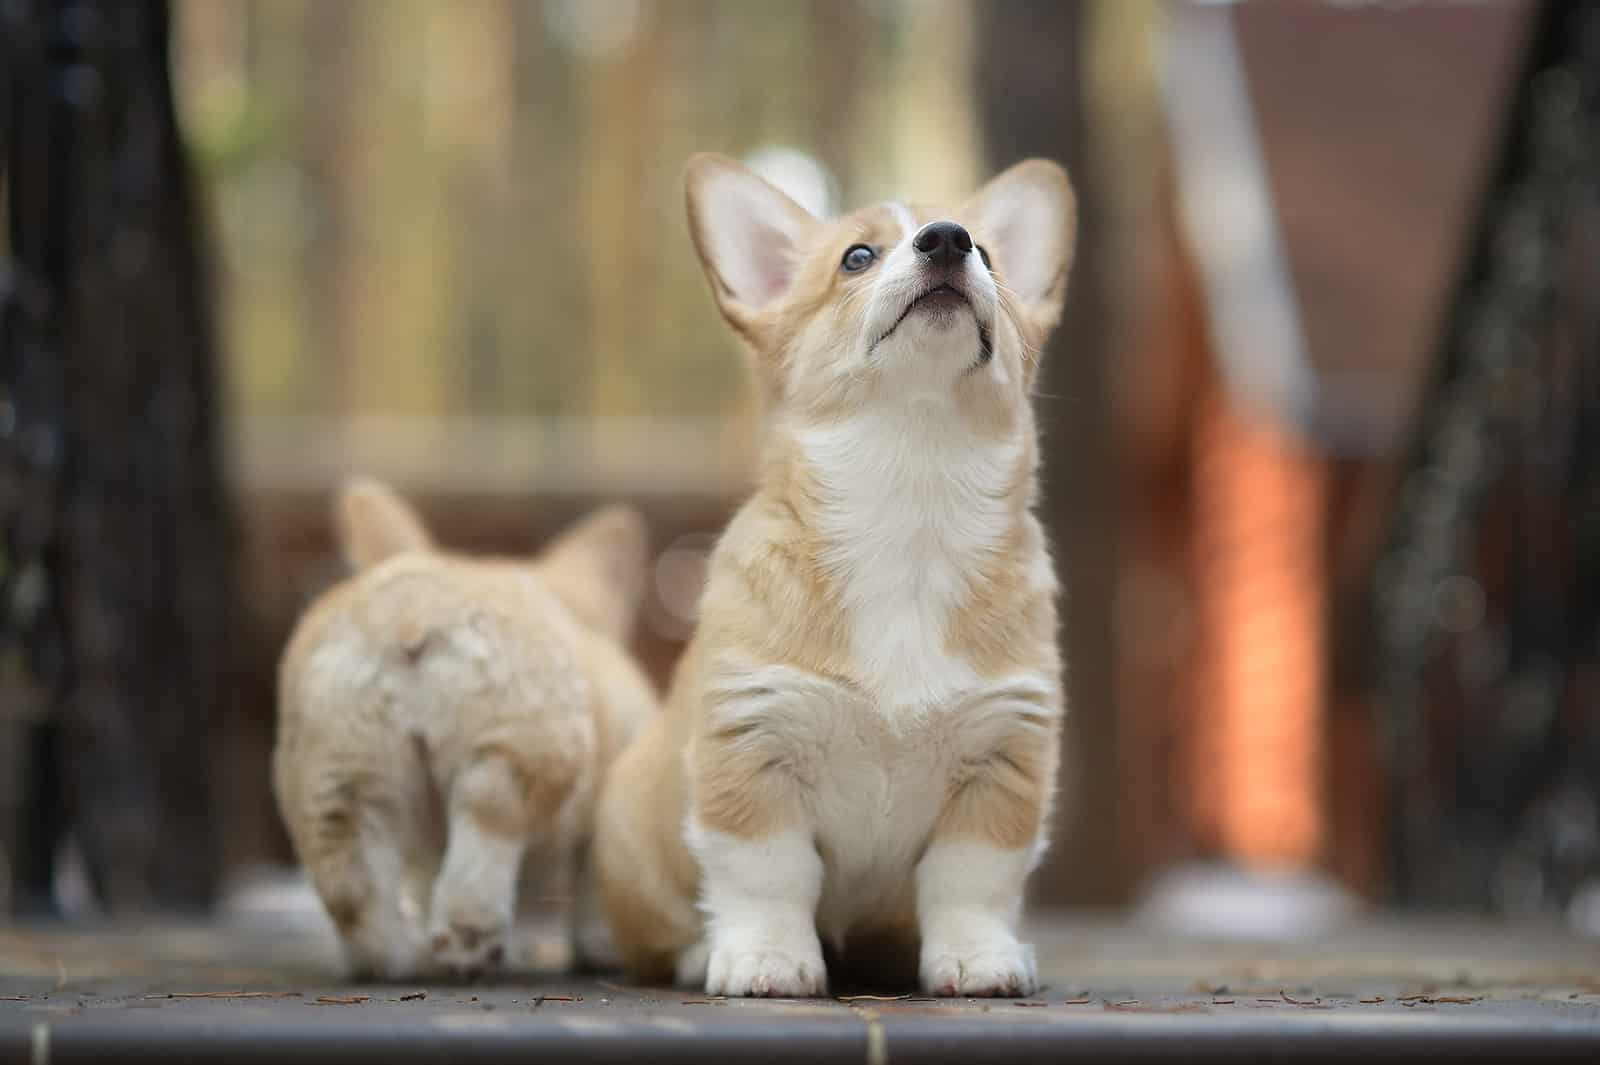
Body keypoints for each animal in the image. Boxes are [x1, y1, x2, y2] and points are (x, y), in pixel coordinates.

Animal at [275, 479, 656, 978]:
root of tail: (412, 613)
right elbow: (597, 888)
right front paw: (605, 952)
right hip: (517, 752)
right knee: (485, 834)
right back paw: (468, 946)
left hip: (341, 780)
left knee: (357, 898)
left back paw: (409, 960)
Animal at [598, 155, 1075, 997]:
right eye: (857, 257)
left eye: (986, 251)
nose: (947, 239)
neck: (911, 492)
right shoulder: (751, 748)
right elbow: (769, 874)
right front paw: (766, 959)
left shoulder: (1003, 759)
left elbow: (972, 880)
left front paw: (978, 958)